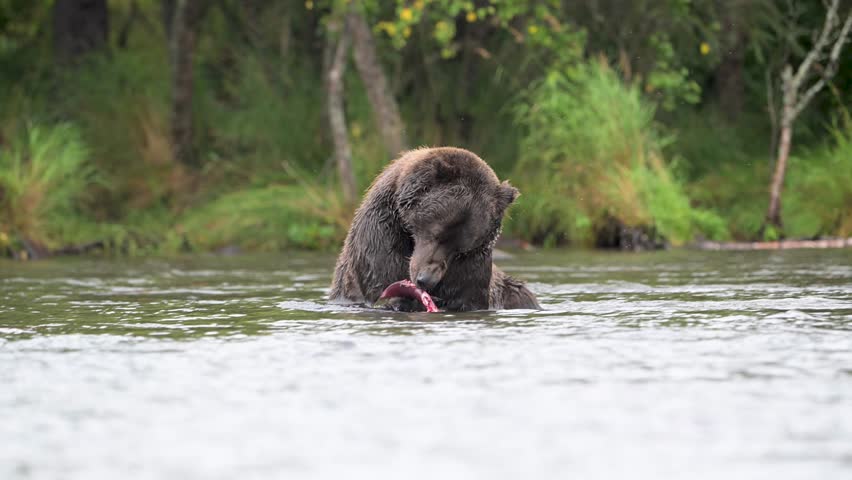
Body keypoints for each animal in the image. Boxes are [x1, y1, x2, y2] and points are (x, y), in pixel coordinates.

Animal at [329, 147, 539, 312]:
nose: (426, 279)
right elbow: (383, 277)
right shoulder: (381, 234)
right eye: (435, 234)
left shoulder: (473, 266)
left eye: (461, 250)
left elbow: (466, 293)